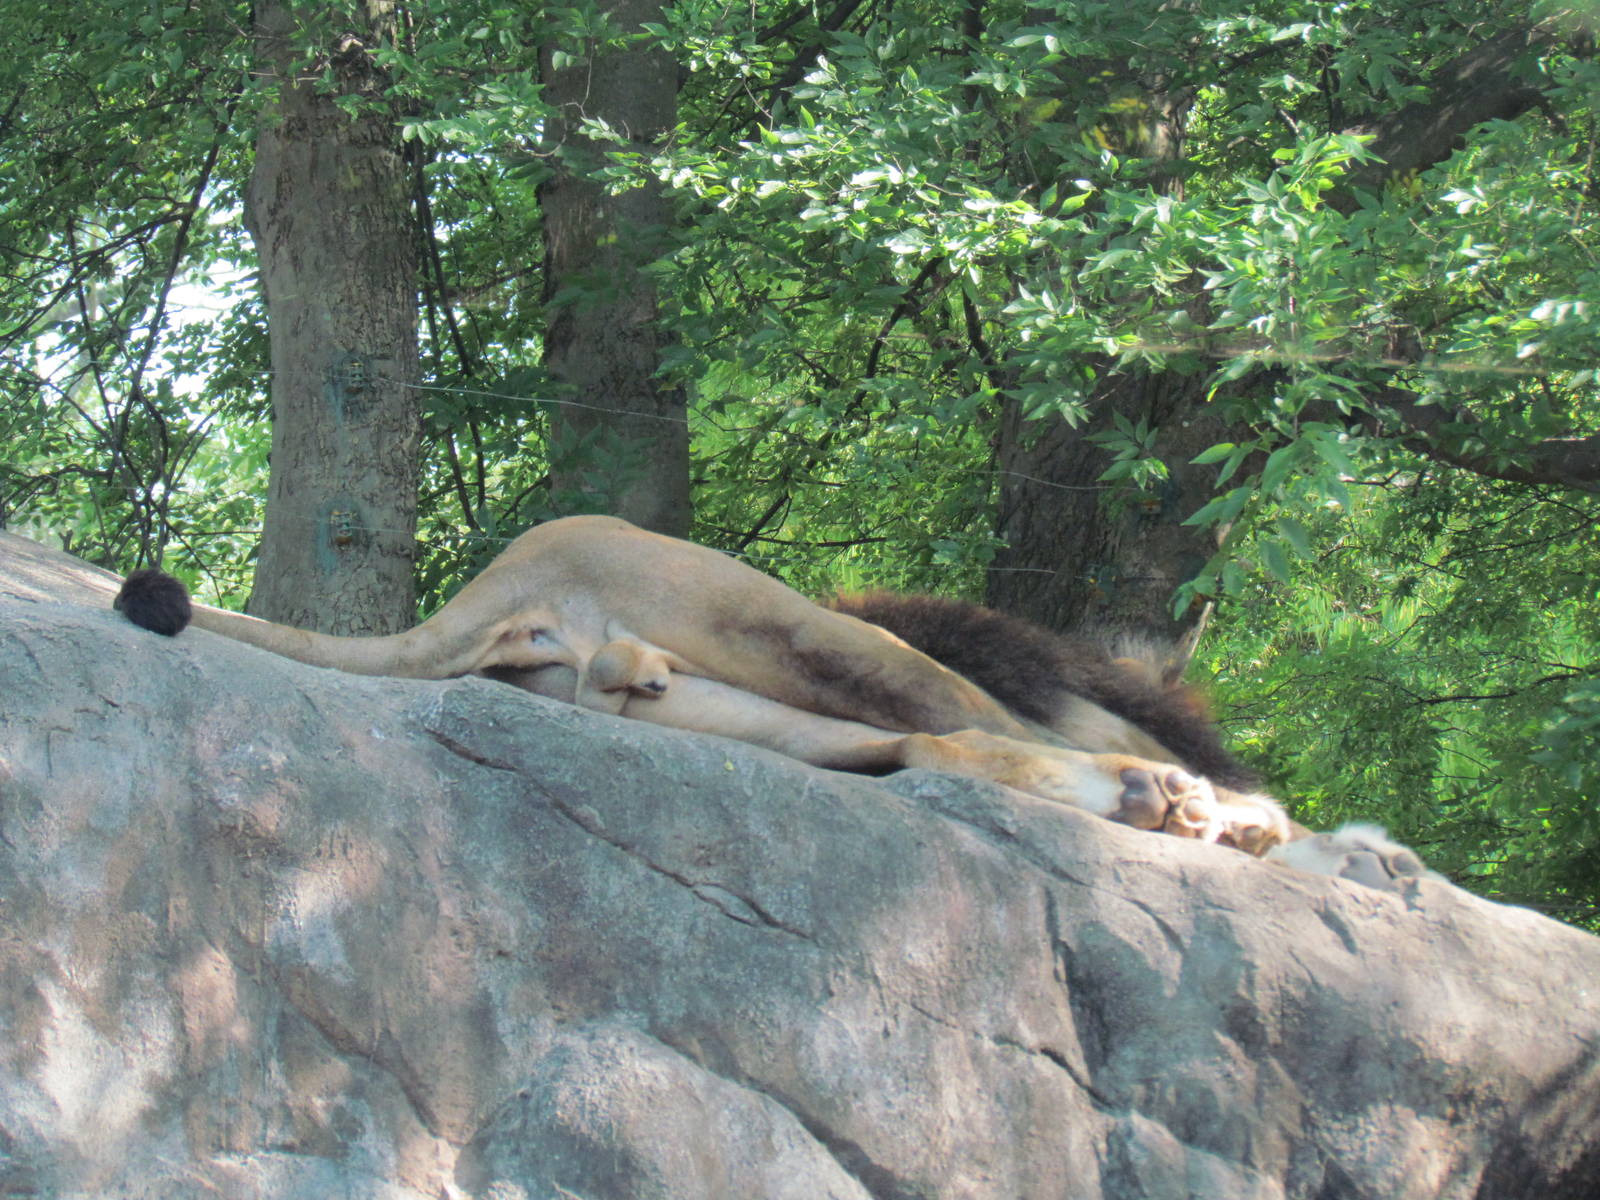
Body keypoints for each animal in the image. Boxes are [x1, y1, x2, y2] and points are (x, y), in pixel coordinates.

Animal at [115, 513, 1429, 889]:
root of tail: (510, 579)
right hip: (796, 641)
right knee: (977, 736)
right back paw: (1214, 813)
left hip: (757, 681)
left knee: (957, 742)